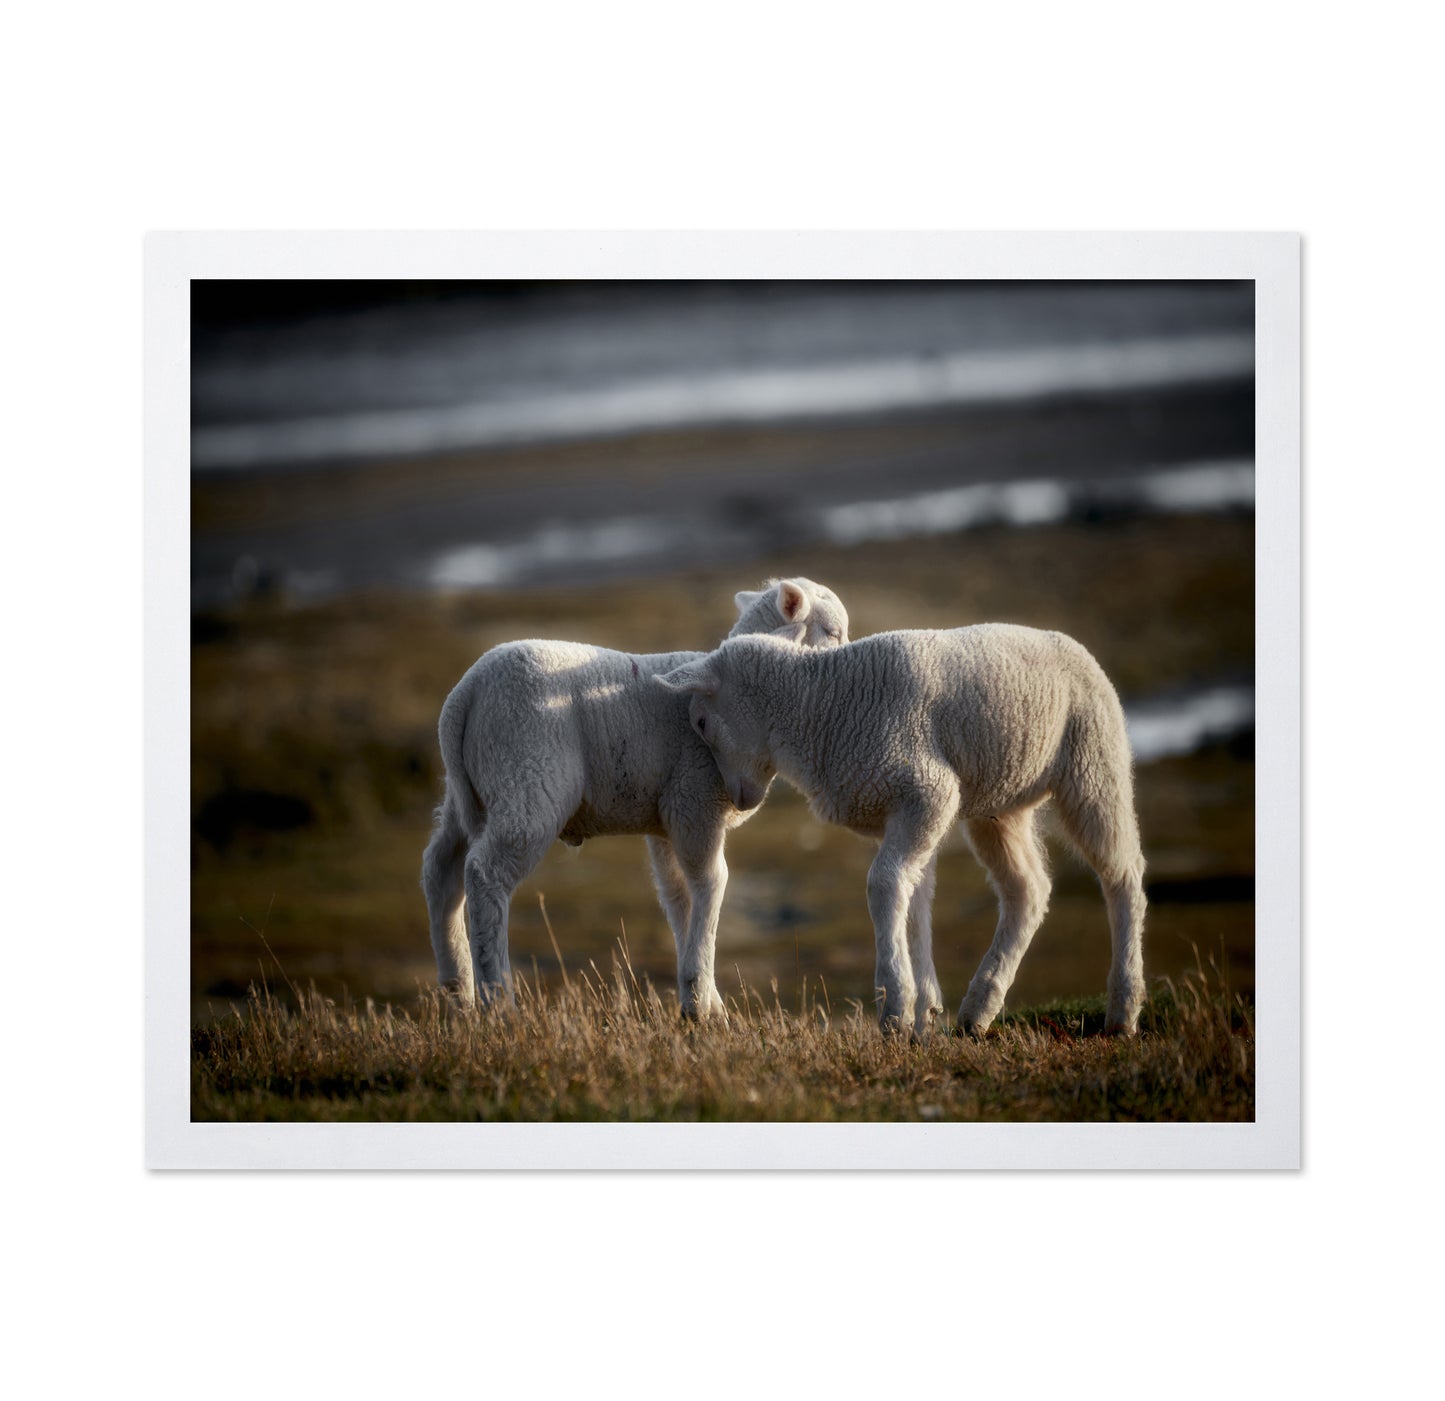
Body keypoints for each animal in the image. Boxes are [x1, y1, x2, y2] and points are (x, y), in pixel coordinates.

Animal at [421, 578, 850, 1017]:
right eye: (833, 632)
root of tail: (466, 693)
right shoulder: (694, 802)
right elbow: (712, 883)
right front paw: (700, 998)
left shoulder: (666, 820)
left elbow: (678, 896)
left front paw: (706, 1001)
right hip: (528, 779)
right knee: (484, 874)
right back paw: (498, 1001)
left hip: (471, 792)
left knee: (441, 870)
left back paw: (457, 988)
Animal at [655, 624, 1147, 1037]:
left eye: (701, 722)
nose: (738, 802)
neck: (819, 708)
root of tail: (1070, 643)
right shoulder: (899, 809)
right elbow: (913, 898)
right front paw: (922, 1011)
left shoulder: (929, 791)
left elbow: (884, 884)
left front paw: (895, 1007)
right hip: (1000, 804)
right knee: (1028, 889)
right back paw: (979, 1008)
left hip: (1093, 762)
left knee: (1122, 876)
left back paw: (1123, 1009)